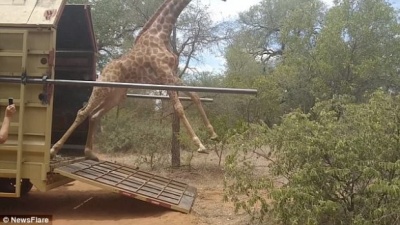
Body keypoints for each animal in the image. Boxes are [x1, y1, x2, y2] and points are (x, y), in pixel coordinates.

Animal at [49, 0, 225, 162]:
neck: (161, 34)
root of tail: (103, 71)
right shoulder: (165, 74)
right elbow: (179, 108)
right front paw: (200, 144)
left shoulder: (173, 75)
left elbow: (195, 96)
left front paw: (214, 135)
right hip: (102, 88)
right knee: (82, 113)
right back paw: (53, 150)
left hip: (116, 95)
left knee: (94, 115)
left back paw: (89, 153)